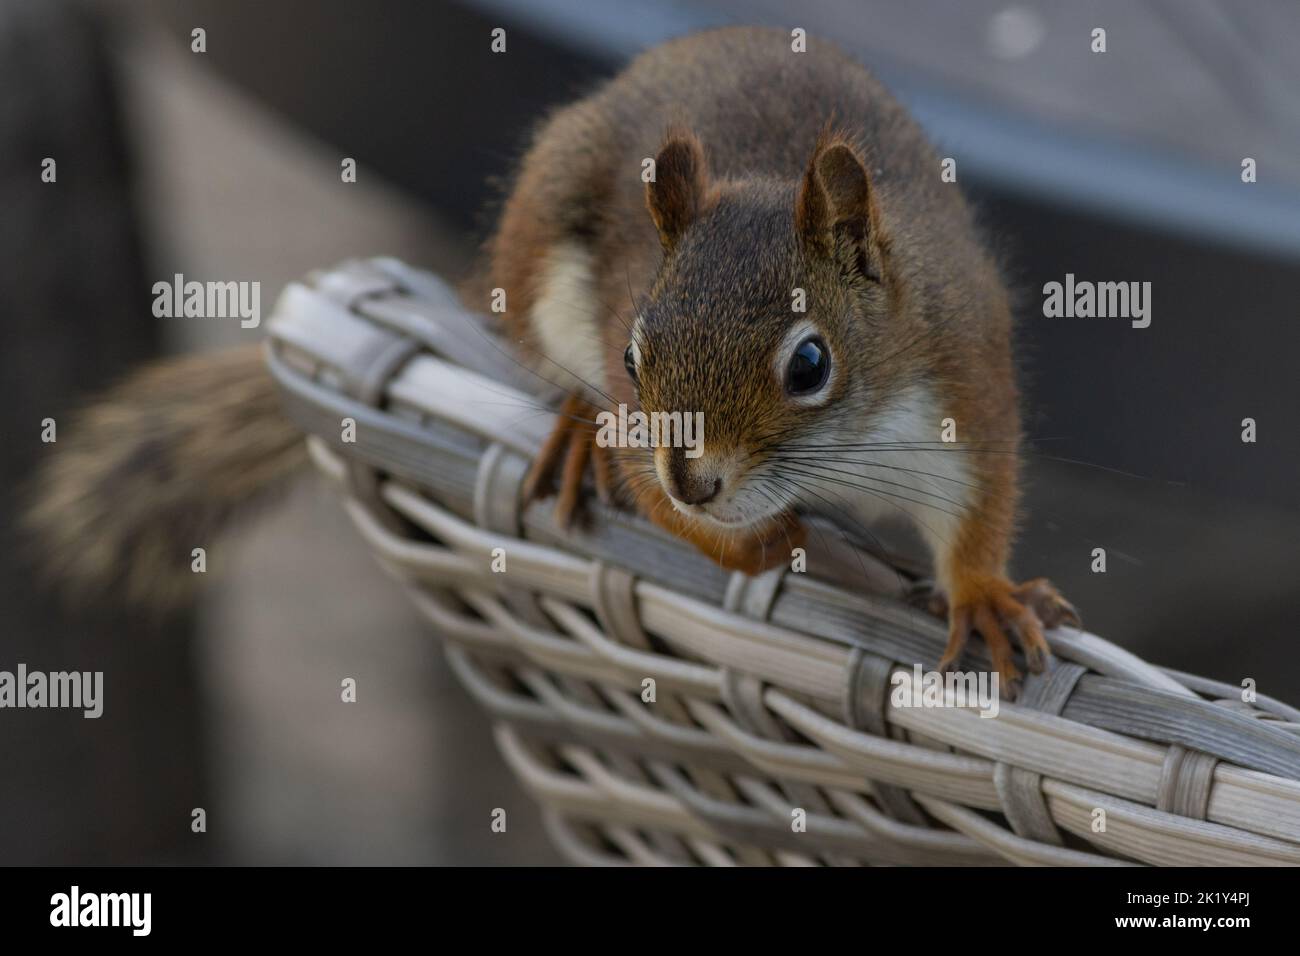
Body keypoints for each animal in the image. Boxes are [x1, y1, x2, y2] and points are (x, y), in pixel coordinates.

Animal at [488, 24, 1076, 697]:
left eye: (810, 365)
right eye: (632, 359)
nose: (692, 486)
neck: (849, 447)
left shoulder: (962, 379)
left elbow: (979, 506)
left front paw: (984, 597)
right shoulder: (641, 437)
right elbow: (672, 512)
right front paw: (776, 542)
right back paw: (578, 436)